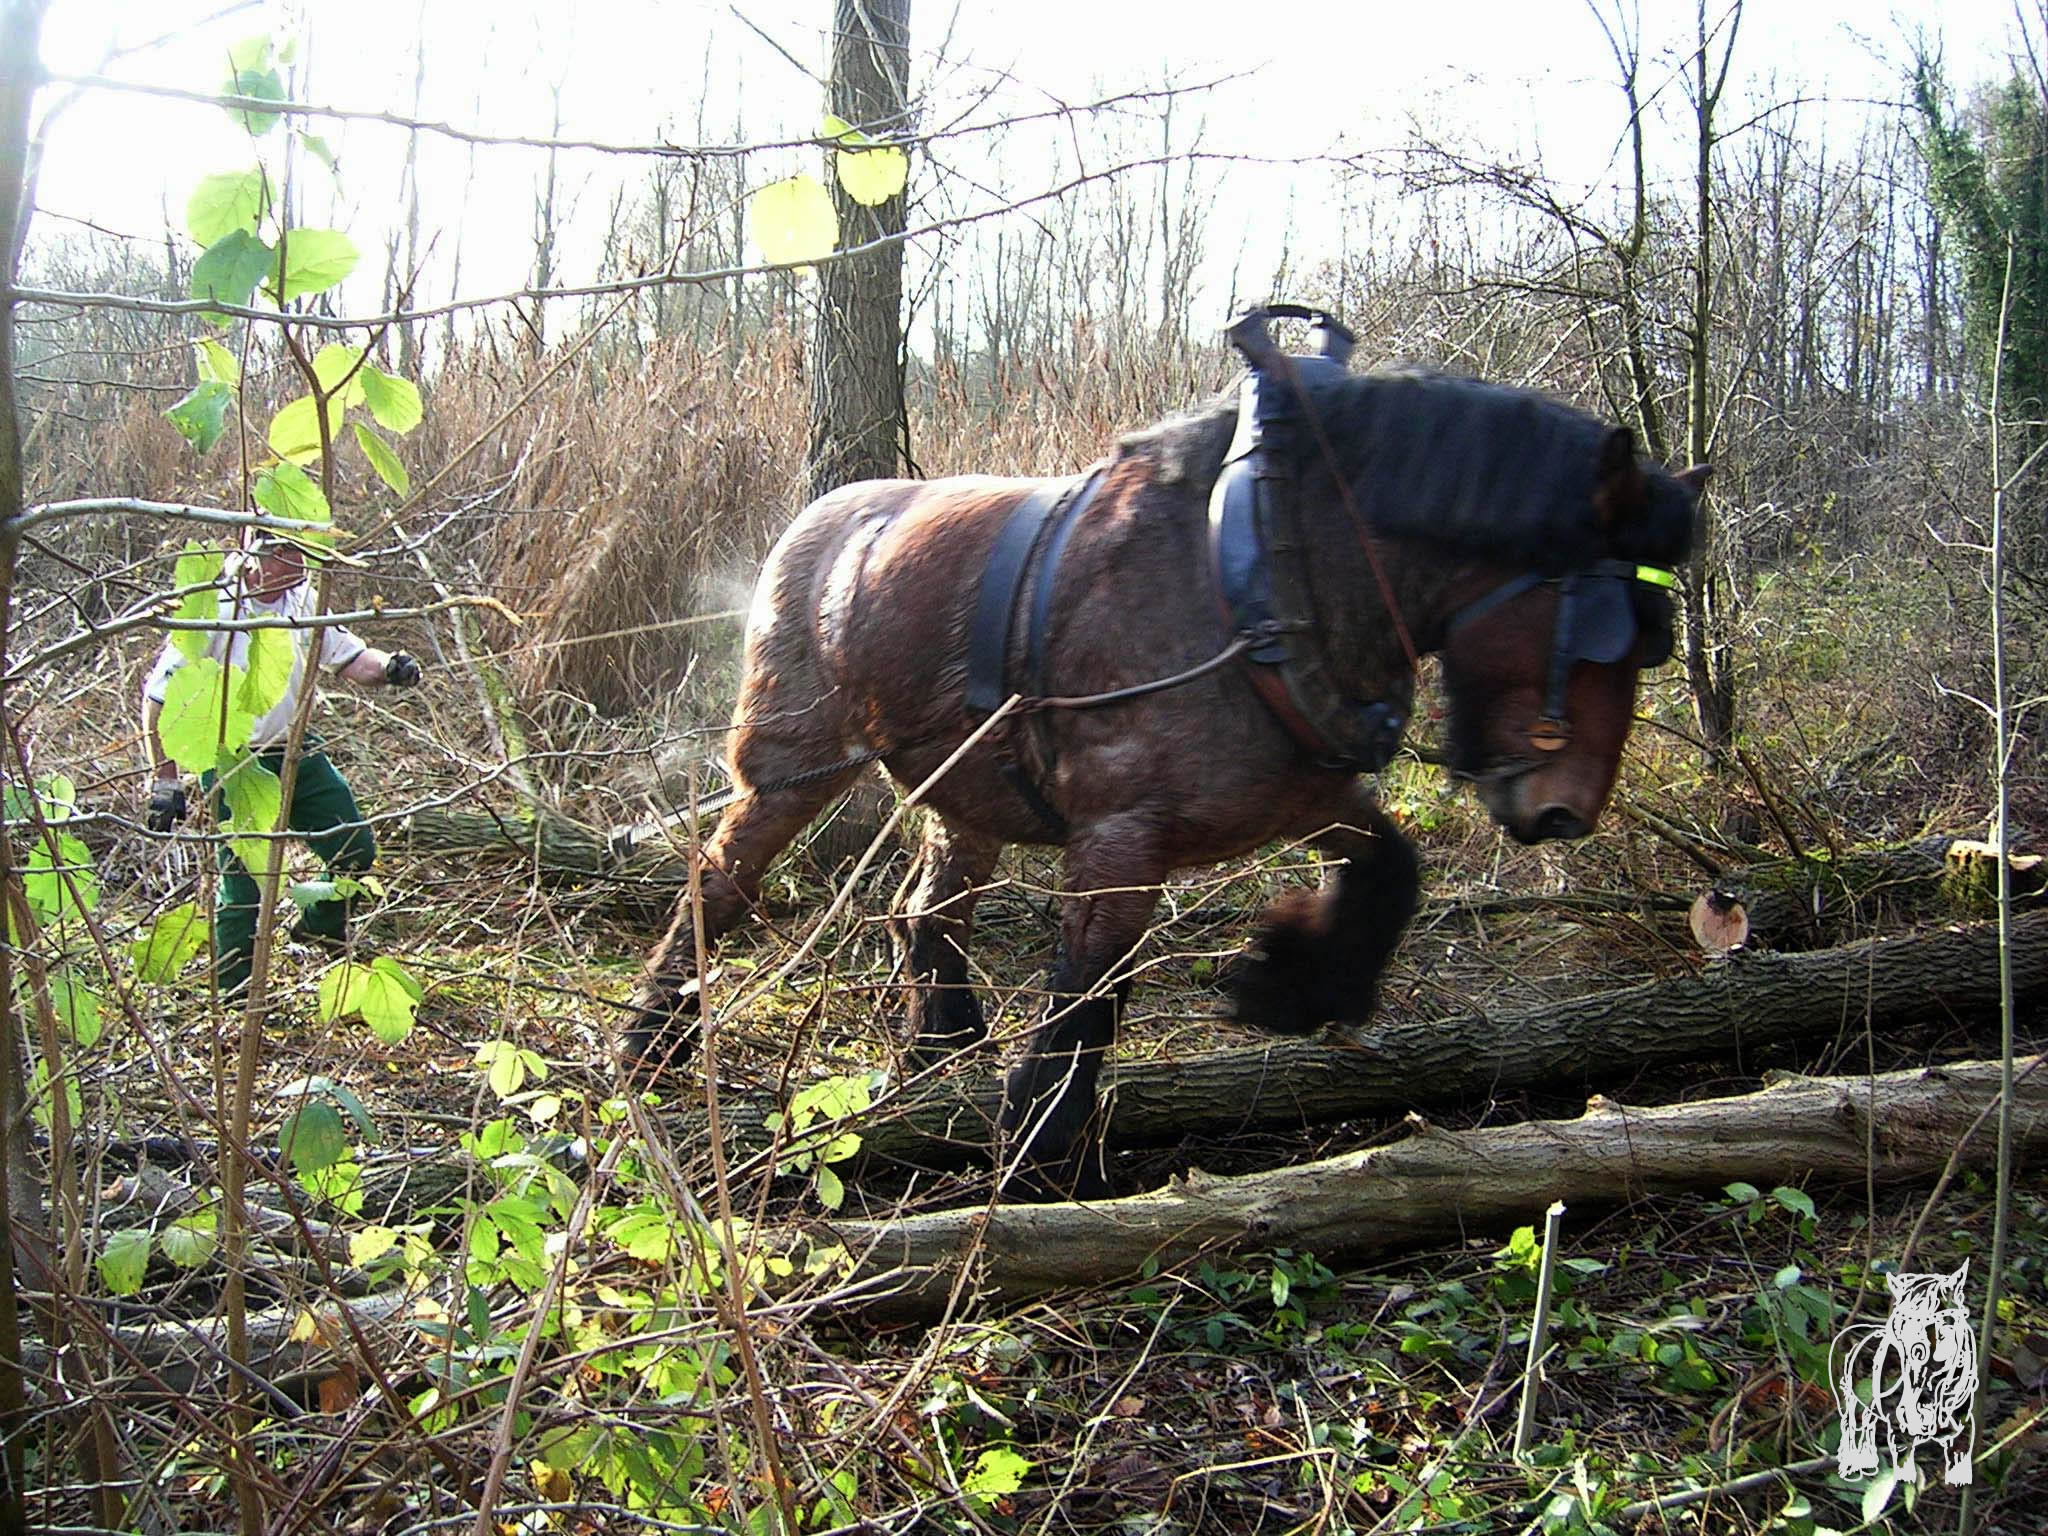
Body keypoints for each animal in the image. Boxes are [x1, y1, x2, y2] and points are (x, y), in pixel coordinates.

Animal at [626, 307, 1705, 1199]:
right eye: (1603, 626)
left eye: (1650, 636)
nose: (1564, 811)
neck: (1256, 570)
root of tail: (820, 519)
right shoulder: (1119, 837)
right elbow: (1087, 992)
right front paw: (1038, 1157)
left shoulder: (1299, 797)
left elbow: (1392, 869)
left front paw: (1286, 982)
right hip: (792, 762)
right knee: (718, 881)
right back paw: (650, 1043)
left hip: (964, 788)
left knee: (924, 909)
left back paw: (940, 1053)